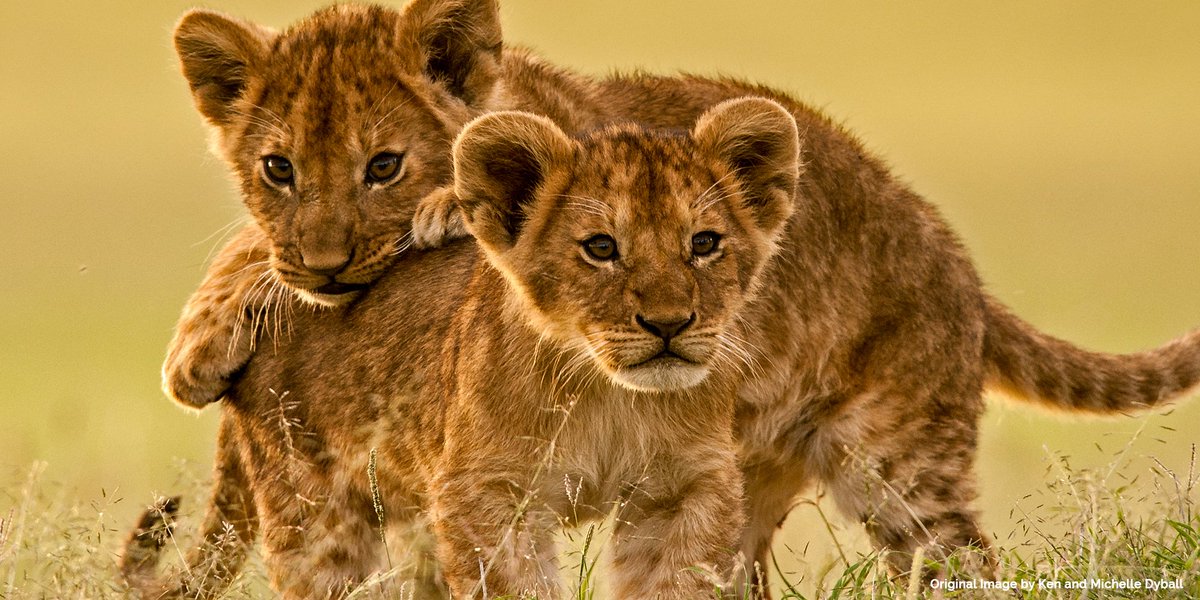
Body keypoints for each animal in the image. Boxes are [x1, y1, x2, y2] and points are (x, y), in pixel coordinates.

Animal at [144, 0, 1200, 598]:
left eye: (384, 166)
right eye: (277, 168)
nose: (324, 270)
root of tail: (959, 264)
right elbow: (250, 246)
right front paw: (202, 342)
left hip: (899, 460)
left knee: (960, 556)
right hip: (753, 477)